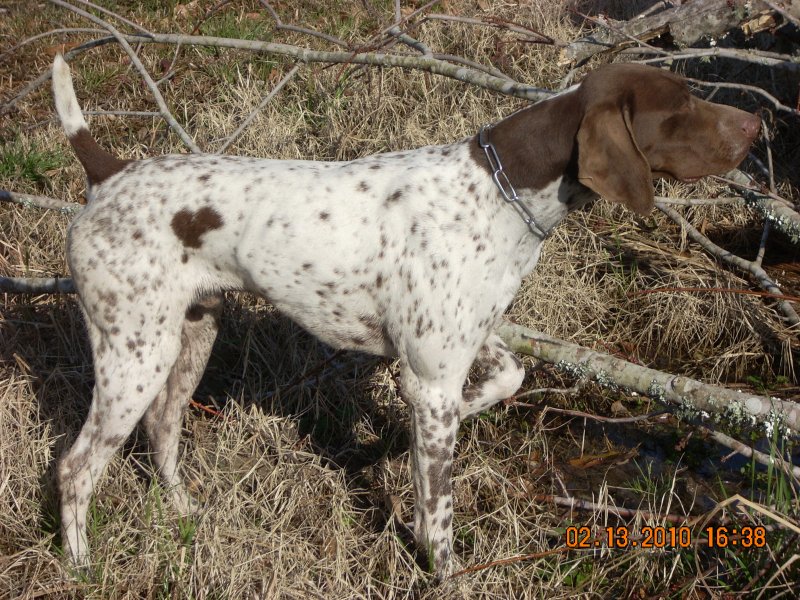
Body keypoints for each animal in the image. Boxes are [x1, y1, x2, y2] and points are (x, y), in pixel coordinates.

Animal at [53, 55, 760, 576]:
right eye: (681, 109)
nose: (755, 126)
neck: (500, 191)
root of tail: (107, 174)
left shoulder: (461, 352)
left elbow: (507, 380)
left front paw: (410, 438)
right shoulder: (435, 378)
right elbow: (439, 513)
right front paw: (445, 573)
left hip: (188, 338)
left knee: (162, 434)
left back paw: (183, 515)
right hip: (134, 355)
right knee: (76, 466)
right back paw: (83, 565)